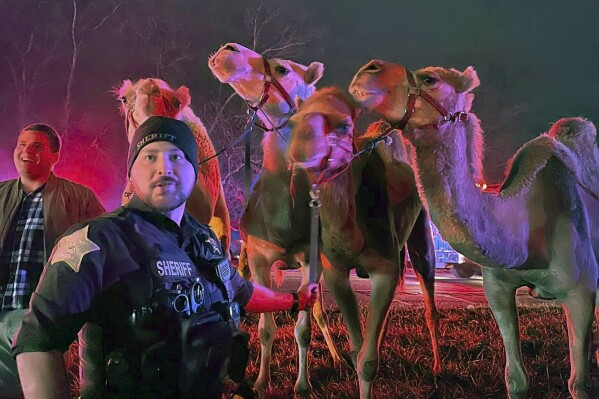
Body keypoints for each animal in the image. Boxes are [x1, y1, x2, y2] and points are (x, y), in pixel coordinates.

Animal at [352, 60, 599, 399]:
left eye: (430, 79)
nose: (367, 70)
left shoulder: (580, 293)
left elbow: (580, 385)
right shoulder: (497, 290)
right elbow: (515, 380)